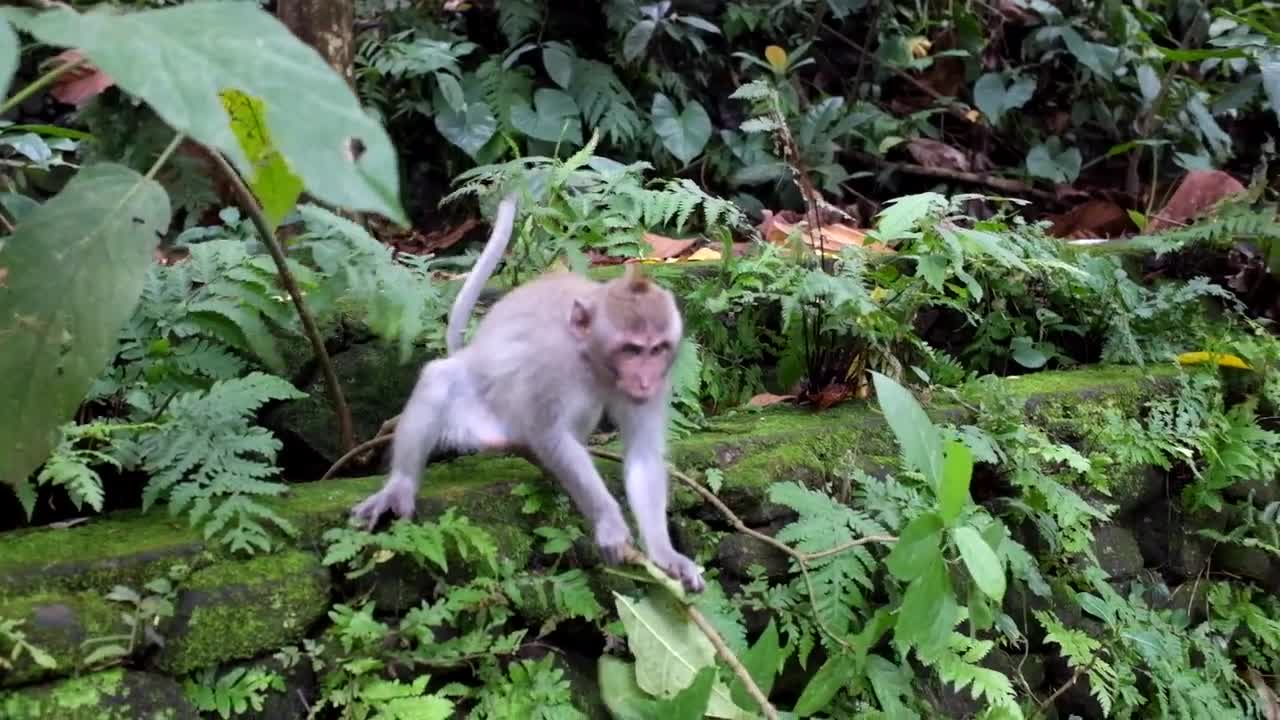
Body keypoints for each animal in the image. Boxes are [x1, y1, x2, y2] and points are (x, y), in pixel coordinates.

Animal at [350, 189, 706, 589]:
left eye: (657, 349)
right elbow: (549, 434)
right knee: (440, 379)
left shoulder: (661, 379)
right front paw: (609, 522)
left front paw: (664, 553)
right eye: (631, 349)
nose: (644, 380)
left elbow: (643, 457)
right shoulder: (553, 363)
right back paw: (400, 486)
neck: (593, 358)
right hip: (480, 415)